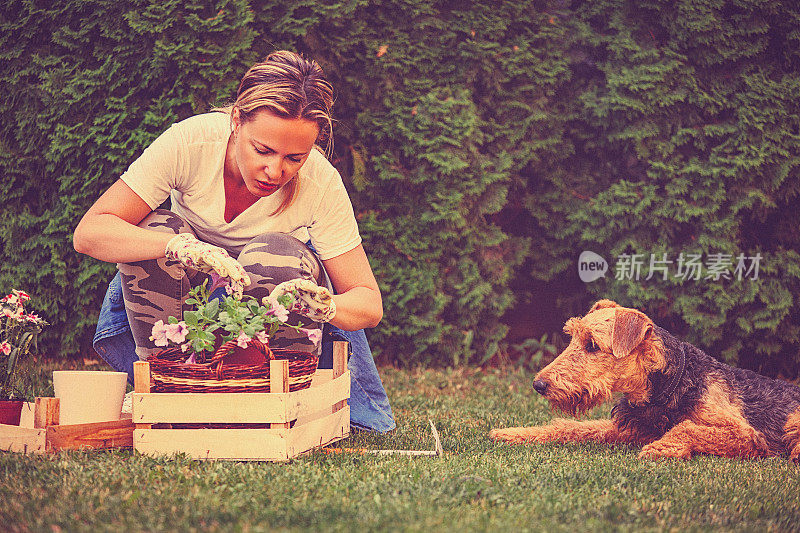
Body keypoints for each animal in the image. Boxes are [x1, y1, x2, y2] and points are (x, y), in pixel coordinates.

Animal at [490, 302, 800, 460]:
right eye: (572, 337)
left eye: (592, 345)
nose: (539, 385)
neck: (669, 385)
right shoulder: (629, 426)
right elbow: (570, 427)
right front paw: (512, 433)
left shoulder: (747, 435)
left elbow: (687, 427)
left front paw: (662, 447)